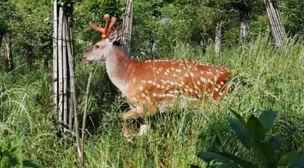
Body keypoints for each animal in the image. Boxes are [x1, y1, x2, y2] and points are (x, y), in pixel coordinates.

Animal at [82, 13, 230, 141]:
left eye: (97, 45)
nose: (84, 57)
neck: (126, 77)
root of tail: (229, 72)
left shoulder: (149, 103)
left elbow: (123, 116)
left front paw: (127, 136)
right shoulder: (137, 106)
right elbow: (143, 132)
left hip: (214, 99)